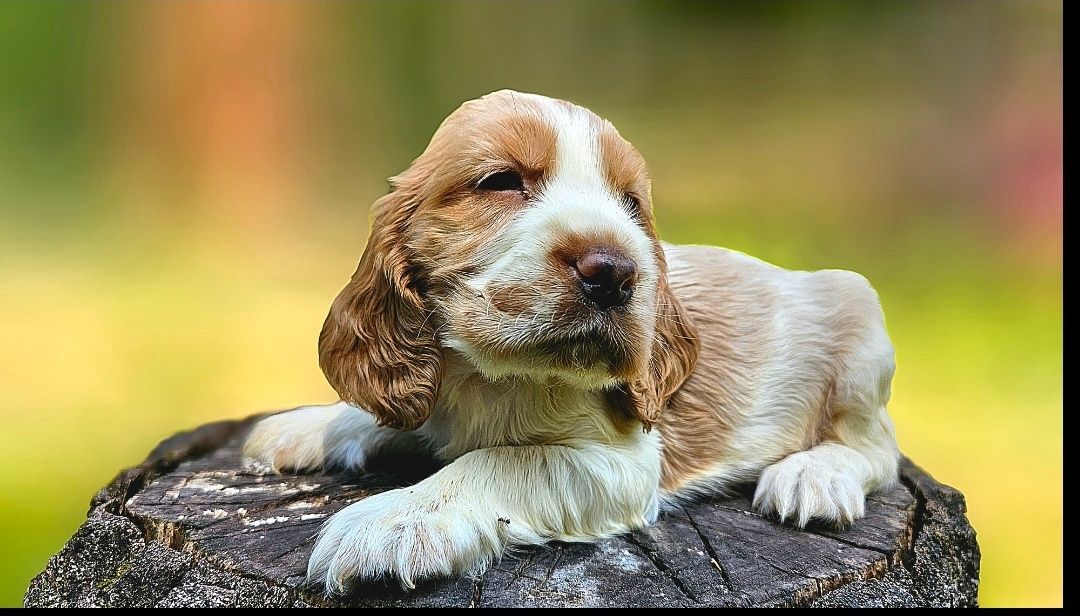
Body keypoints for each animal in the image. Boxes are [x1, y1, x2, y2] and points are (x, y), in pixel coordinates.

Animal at [245, 89, 902, 587]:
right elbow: (392, 415)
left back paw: (814, 478)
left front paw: (395, 522)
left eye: (632, 204)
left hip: (862, 331)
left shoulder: (623, 465)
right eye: (500, 181)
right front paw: (309, 426)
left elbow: (500, 462)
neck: (487, 376)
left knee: (877, 449)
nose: (613, 272)